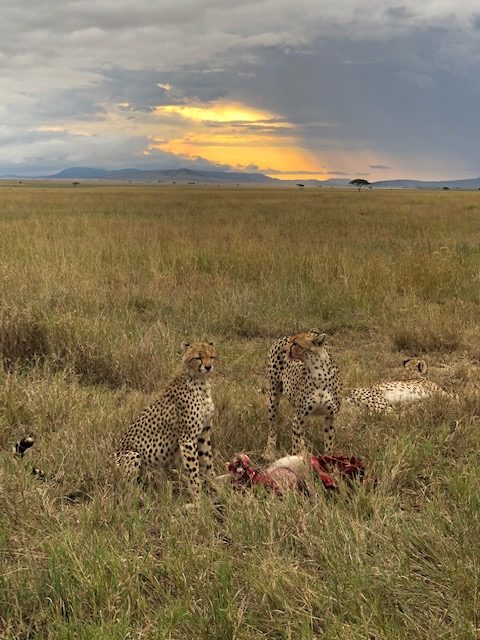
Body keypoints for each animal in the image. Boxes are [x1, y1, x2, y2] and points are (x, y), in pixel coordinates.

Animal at [115, 342, 217, 502]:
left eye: (211, 356)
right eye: (198, 357)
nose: (208, 367)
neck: (201, 381)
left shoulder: (204, 434)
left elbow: (208, 463)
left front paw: (215, 488)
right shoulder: (187, 438)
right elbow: (194, 470)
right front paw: (197, 498)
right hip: (133, 454)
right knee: (126, 488)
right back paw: (143, 497)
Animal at [264, 330, 340, 460]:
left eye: (295, 344)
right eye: (292, 342)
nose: (284, 350)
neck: (319, 373)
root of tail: (283, 337)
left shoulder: (330, 417)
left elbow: (329, 446)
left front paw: (329, 463)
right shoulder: (298, 418)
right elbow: (295, 446)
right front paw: (295, 460)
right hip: (273, 396)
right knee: (273, 426)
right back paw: (269, 451)